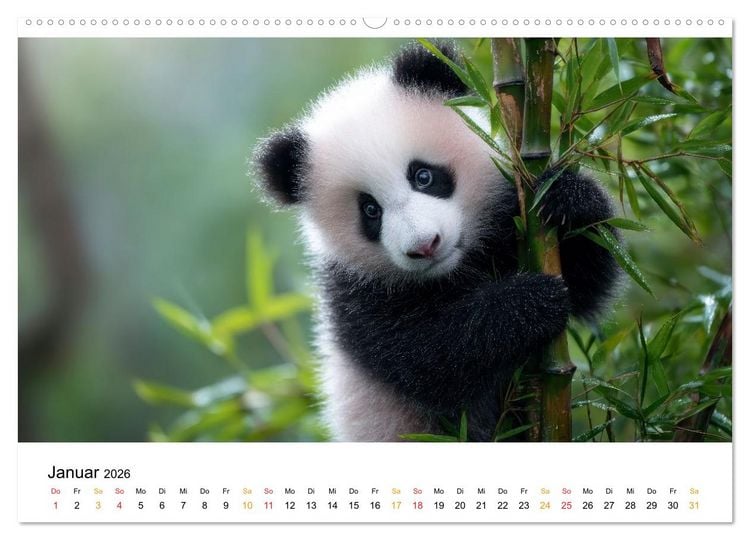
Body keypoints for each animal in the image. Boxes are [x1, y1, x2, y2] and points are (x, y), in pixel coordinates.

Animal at [252, 41, 620, 441]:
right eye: (370, 210)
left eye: (423, 176)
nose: (425, 246)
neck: (457, 270)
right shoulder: (355, 297)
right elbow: (430, 357)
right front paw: (529, 302)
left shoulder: (510, 219)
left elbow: (587, 285)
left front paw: (569, 198)